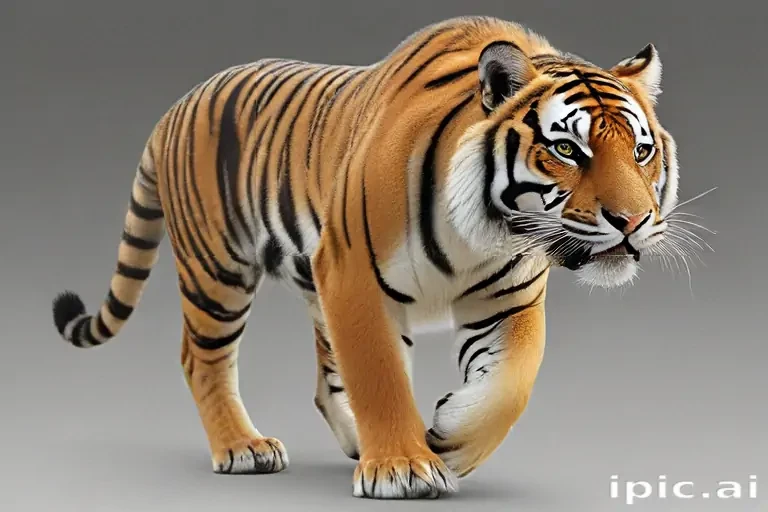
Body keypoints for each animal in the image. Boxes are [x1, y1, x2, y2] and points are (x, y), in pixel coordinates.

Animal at [51, 15, 680, 499]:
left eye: (641, 151)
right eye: (567, 149)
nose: (632, 221)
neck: (486, 232)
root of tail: (177, 106)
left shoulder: (509, 299)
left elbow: (510, 384)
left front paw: (451, 438)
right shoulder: (354, 277)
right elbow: (380, 375)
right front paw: (402, 467)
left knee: (325, 377)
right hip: (219, 270)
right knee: (201, 358)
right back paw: (243, 447)